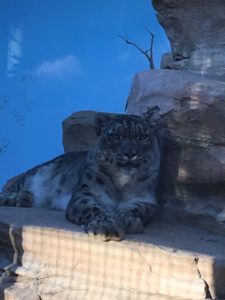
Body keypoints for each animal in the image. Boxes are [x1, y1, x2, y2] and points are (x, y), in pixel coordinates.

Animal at [0, 113, 162, 241]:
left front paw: (127, 220)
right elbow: (93, 208)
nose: (130, 153)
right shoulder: (86, 193)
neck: (121, 183)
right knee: (8, 190)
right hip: (35, 174)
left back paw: (24, 198)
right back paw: (18, 197)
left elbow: (137, 208)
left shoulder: (144, 199)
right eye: (115, 136)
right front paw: (106, 226)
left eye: (142, 137)